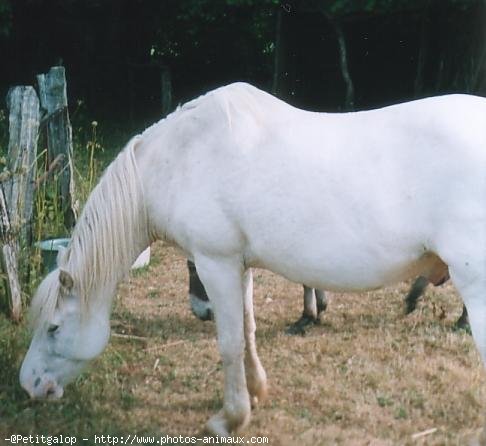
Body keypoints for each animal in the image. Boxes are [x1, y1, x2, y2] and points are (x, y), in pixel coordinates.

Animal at [20, 83, 486, 436]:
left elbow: (228, 343)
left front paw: (229, 418)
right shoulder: (237, 266)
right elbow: (247, 331)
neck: (181, 159)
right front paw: (256, 392)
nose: (29, 385)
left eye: (54, 327)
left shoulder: (215, 264)